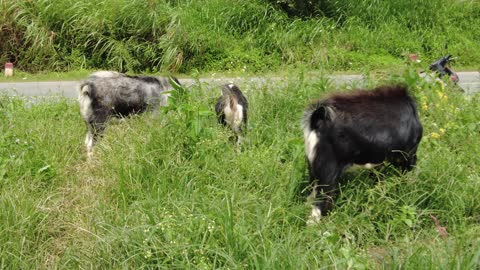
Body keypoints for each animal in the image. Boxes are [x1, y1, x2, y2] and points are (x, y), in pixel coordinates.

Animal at [302, 85, 422, 223]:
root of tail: (317, 119)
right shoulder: (408, 155)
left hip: (313, 168)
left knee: (311, 195)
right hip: (327, 171)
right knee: (319, 203)